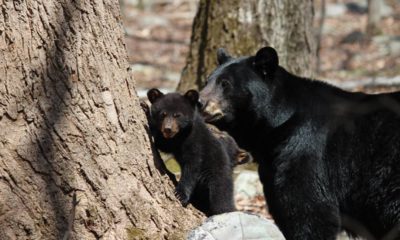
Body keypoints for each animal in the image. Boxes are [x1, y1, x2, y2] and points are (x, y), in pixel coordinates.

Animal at [146, 89, 234, 217]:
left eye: (177, 115)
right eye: (163, 114)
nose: (168, 129)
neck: (182, 135)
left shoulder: (196, 142)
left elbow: (192, 167)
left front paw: (180, 195)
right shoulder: (175, 142)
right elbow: (164, 145)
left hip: (217, 177)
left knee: (221, 199)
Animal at [199, 46, 400, 239]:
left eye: (225, 84)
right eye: (207, 81)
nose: (199, 101)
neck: (275, 127)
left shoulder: (305, 149)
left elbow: (308, 210)